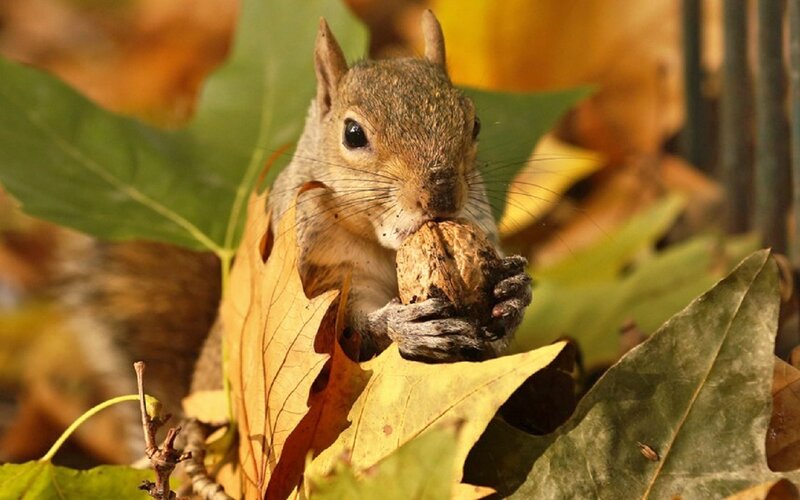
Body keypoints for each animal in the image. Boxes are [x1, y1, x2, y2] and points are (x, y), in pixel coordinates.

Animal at [60, 10, 532, 443]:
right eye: (353, 134)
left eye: (474, 123)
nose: (440, 195)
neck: (382, 245)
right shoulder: (316, 272)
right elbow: (337, 338)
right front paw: (405, 326)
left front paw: (513, 293)